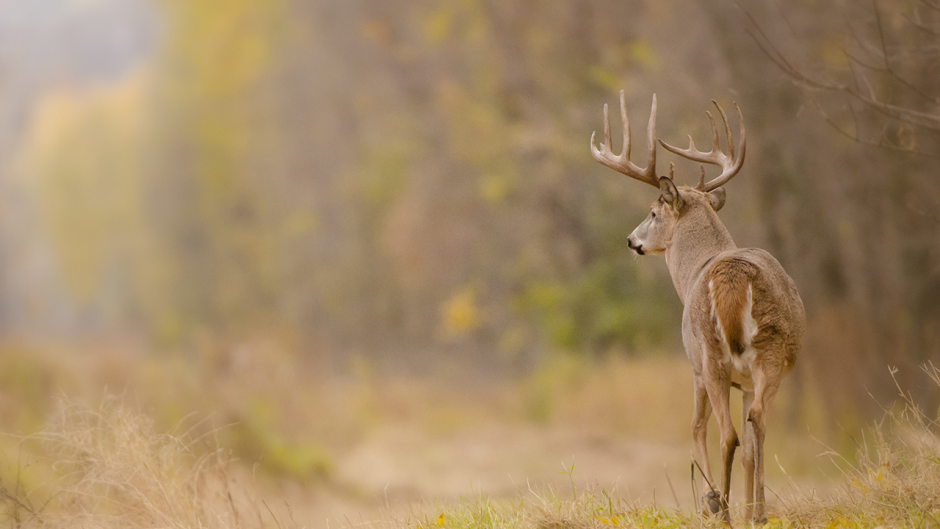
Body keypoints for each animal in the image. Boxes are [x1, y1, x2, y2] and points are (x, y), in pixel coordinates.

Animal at [592, 92, 804, 524]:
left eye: (653, 213)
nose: (630, 240)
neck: (697, 267)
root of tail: (731, 274)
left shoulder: (693, 366)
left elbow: (694, 428)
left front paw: (712, 500)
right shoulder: (744, 382)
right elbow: (750, 450)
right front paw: (748, 508)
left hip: (710, 356)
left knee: (726, 434)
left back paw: (720, 507)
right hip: (771, 354)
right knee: (757, 421)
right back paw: (756, 513)